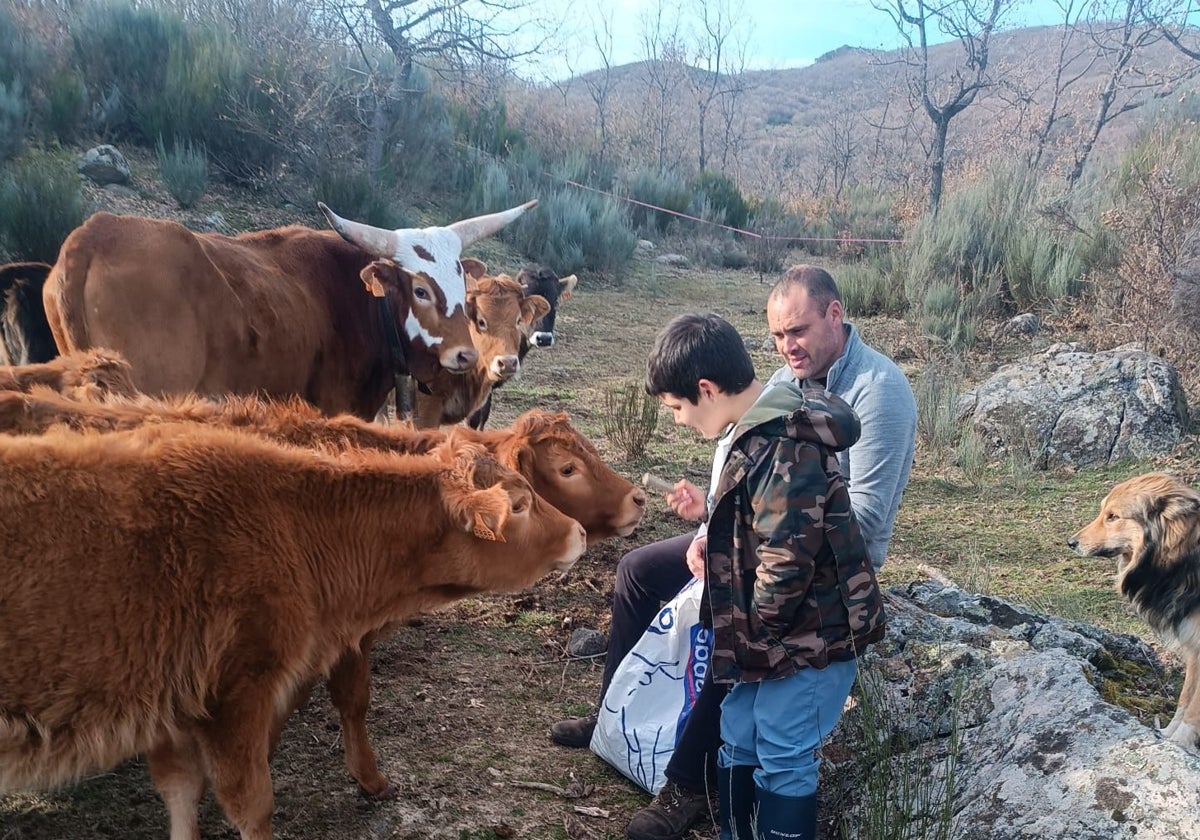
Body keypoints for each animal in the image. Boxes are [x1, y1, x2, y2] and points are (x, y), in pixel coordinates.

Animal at [1070, 472, 1200, 753]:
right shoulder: (1194, 645)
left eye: (1113, 517)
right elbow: (1185, 697)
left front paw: (1180, 741)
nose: (1071, 542)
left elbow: (1194, 706)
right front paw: (1168, 735)